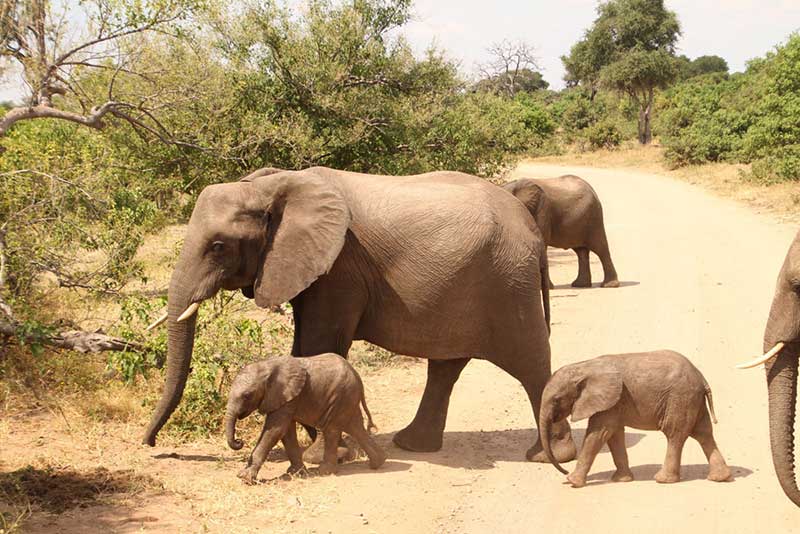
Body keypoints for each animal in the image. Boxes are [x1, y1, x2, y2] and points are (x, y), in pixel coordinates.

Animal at [139, 165, 576, 466]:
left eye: (218, 246)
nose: (150, 444)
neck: (274, 184)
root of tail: (532, 229)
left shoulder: (341, 267)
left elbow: (319, 343)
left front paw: (324, 453)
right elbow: (305, 345)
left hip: (507, 282)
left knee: (530, 363)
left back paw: (550, 456)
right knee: (446, 366)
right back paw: (412, 445)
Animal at [225, 354, 388, 484]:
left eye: (247, 395)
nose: (239, 441)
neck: (267, 366)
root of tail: (358, 378)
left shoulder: (287, 396)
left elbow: (275, 431)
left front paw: (244, 478)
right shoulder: (286, 399)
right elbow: (286, 432)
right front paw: (295, 473)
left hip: (341, 396)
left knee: (332, 429)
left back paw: (324, 471)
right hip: (347, 398)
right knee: (355, 427)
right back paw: (378, 463)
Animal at [536, 352, 732, 490]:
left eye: (556, 399)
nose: (565, 470)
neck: (584, 366)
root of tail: (702, 378)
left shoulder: (610, 401)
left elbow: (599, 434)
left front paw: (572, 482)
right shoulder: (614, 403)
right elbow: (613, 435)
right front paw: (621, 480)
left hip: (680, 398)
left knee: (675, 435)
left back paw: (662, 480)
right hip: (692, 400)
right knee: (703, 434)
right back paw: (720, 478)